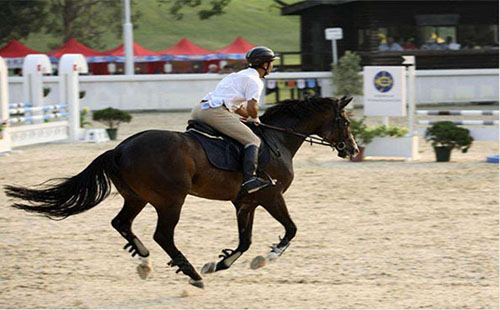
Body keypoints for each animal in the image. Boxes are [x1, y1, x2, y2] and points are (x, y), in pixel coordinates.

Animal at [2, 96, 356, 288]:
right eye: (346, 123)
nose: (352, 149)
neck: (276, 140)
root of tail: (120, 148)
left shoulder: (246, 203)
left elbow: (245, 240)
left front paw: (221, 263)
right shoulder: (270, 196)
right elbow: (290, 230)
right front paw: (264, 258)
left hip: (137, 197)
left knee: (122, 223)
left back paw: (144, 261)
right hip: (171, 200)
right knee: (162, 235)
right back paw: (190, 273)